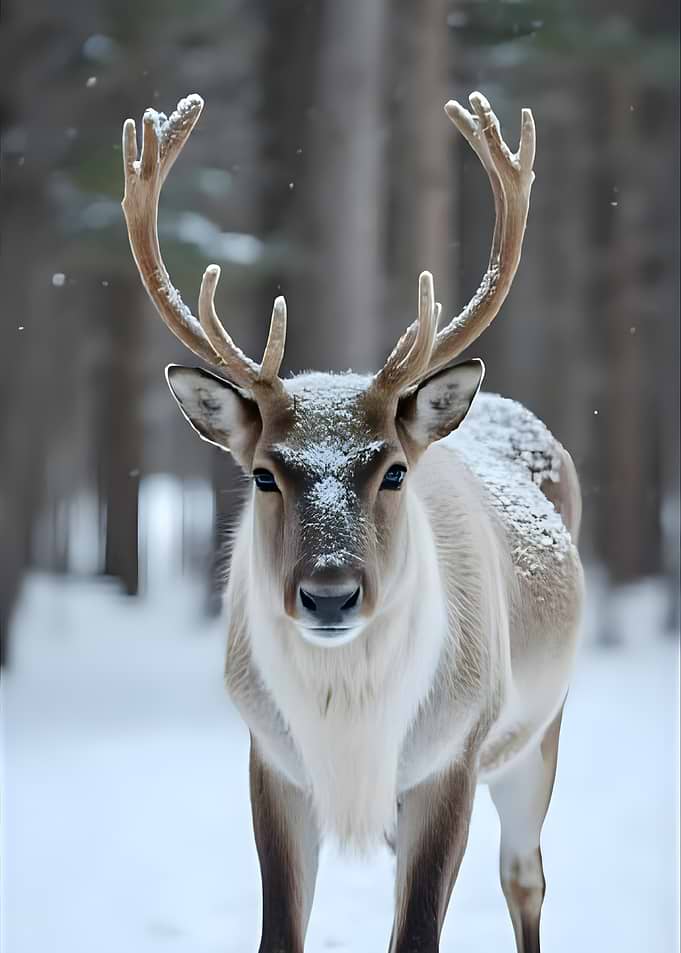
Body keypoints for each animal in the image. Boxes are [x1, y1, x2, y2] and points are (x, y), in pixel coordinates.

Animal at [121, 91, 584, 953]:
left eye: (393, 469)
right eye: (263, 472)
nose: (329, 593)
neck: (350, 718)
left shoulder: (451, 753)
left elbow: (419, 931)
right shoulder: (271, 757)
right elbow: (279, 932)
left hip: (535, 732)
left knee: (525, 876)